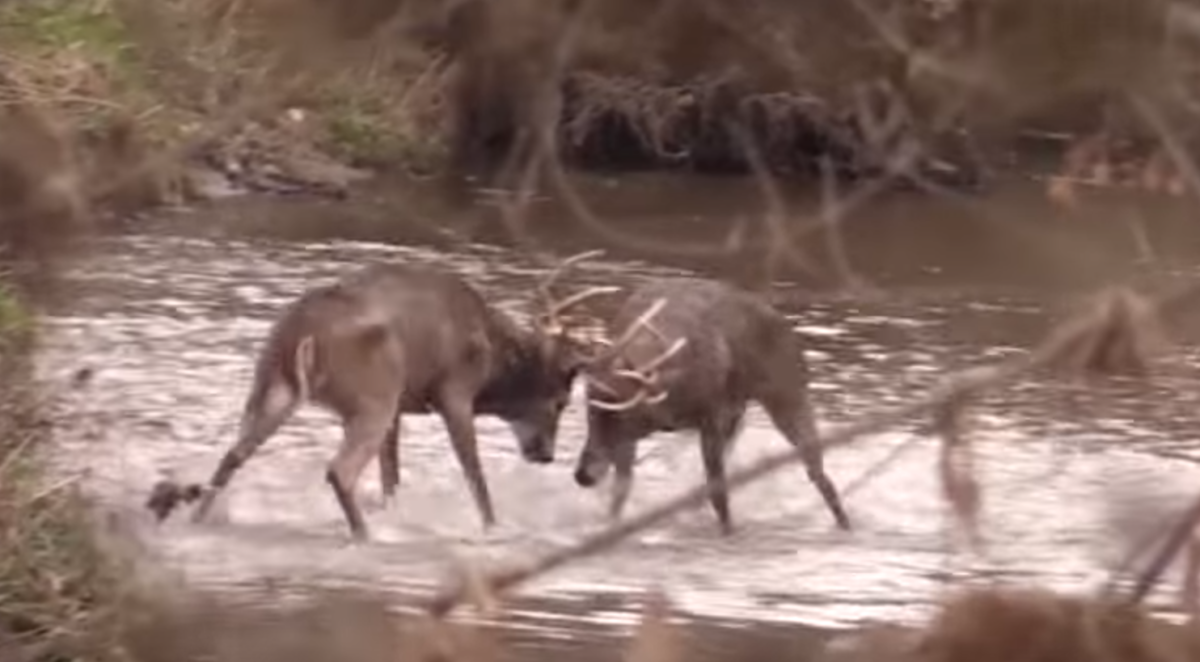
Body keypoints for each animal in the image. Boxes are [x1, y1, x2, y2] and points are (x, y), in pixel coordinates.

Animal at [159, 250, 619, 539]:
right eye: (561, 401)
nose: (545, 454)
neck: (492, 354)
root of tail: (301, 334)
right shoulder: (453, 392)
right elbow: (474, 473)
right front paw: (493, 528)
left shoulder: (402, 406)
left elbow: (391, 477)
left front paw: (395, 512)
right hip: (372, 393)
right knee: (339, 470)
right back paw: (366, 536)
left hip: (273, 386)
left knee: (234, 454)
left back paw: (195, 518)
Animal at [571, 277, 854, 534]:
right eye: (589, 411)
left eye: (622, 415)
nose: (582, 475)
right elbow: (621, 491)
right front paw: (608, 527)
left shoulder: (711, 417)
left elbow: (719, 493)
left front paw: (729, 532)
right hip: (744, 411)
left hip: (787, 393)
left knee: (817, 470)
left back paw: (846, 522)